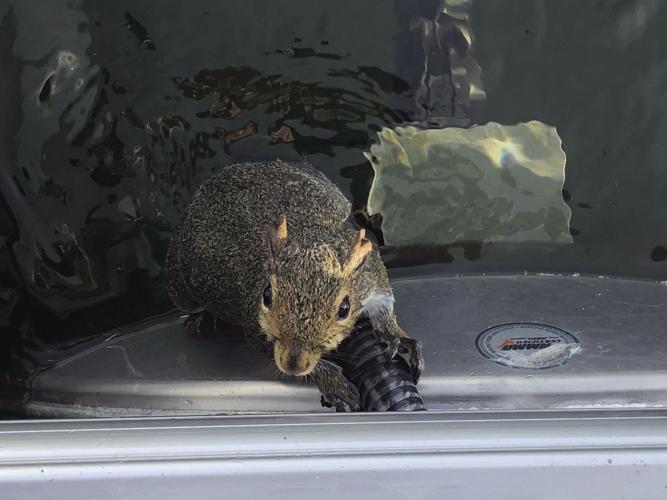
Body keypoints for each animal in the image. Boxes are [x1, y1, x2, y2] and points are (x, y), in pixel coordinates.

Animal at [165, 160, 423, 411]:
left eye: (344, 309)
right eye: (267, 295)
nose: (293, 365)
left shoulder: (371, 273)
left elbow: (384, 302)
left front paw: (396, 336)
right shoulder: (255, 326)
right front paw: (331, 380)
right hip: (180, 284)